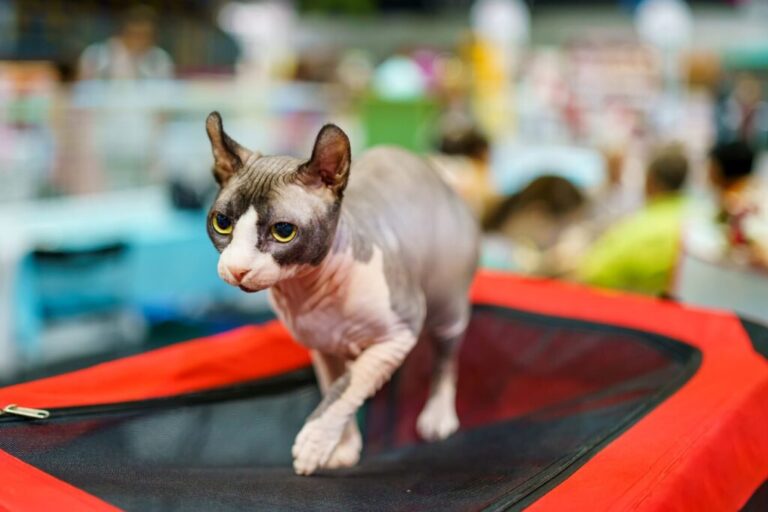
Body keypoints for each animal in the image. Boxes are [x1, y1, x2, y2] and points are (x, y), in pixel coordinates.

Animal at [207, 113, 476, 476]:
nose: (236, 269)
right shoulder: (322, 348)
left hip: (447, 307)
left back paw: (438, 415)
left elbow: (349, 384)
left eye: (283, 231)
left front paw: (314, 442)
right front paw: (341, 448)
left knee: (446, 357)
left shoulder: (400, 331)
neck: (307, 291)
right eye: (222, 223)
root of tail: (438, 177)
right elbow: (334, 385)